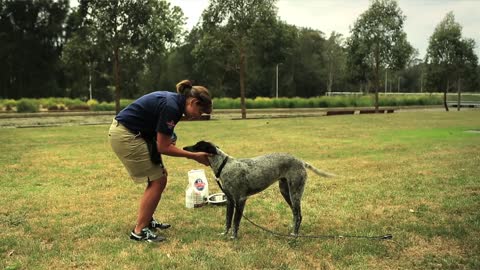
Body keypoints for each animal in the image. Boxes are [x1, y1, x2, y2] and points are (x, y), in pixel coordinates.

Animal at [184, 141, 334, 238]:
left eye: (197, 145)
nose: (184, 147)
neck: (224, 165)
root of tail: (301, 162)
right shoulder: (230, 201)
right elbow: (228, 221)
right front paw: (225, 234)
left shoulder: (240, 200)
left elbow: (235, 222)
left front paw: (233, 237)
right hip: (286, 192)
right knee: (295, 214)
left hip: (295, 193)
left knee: (299, 215)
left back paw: (294, 235)